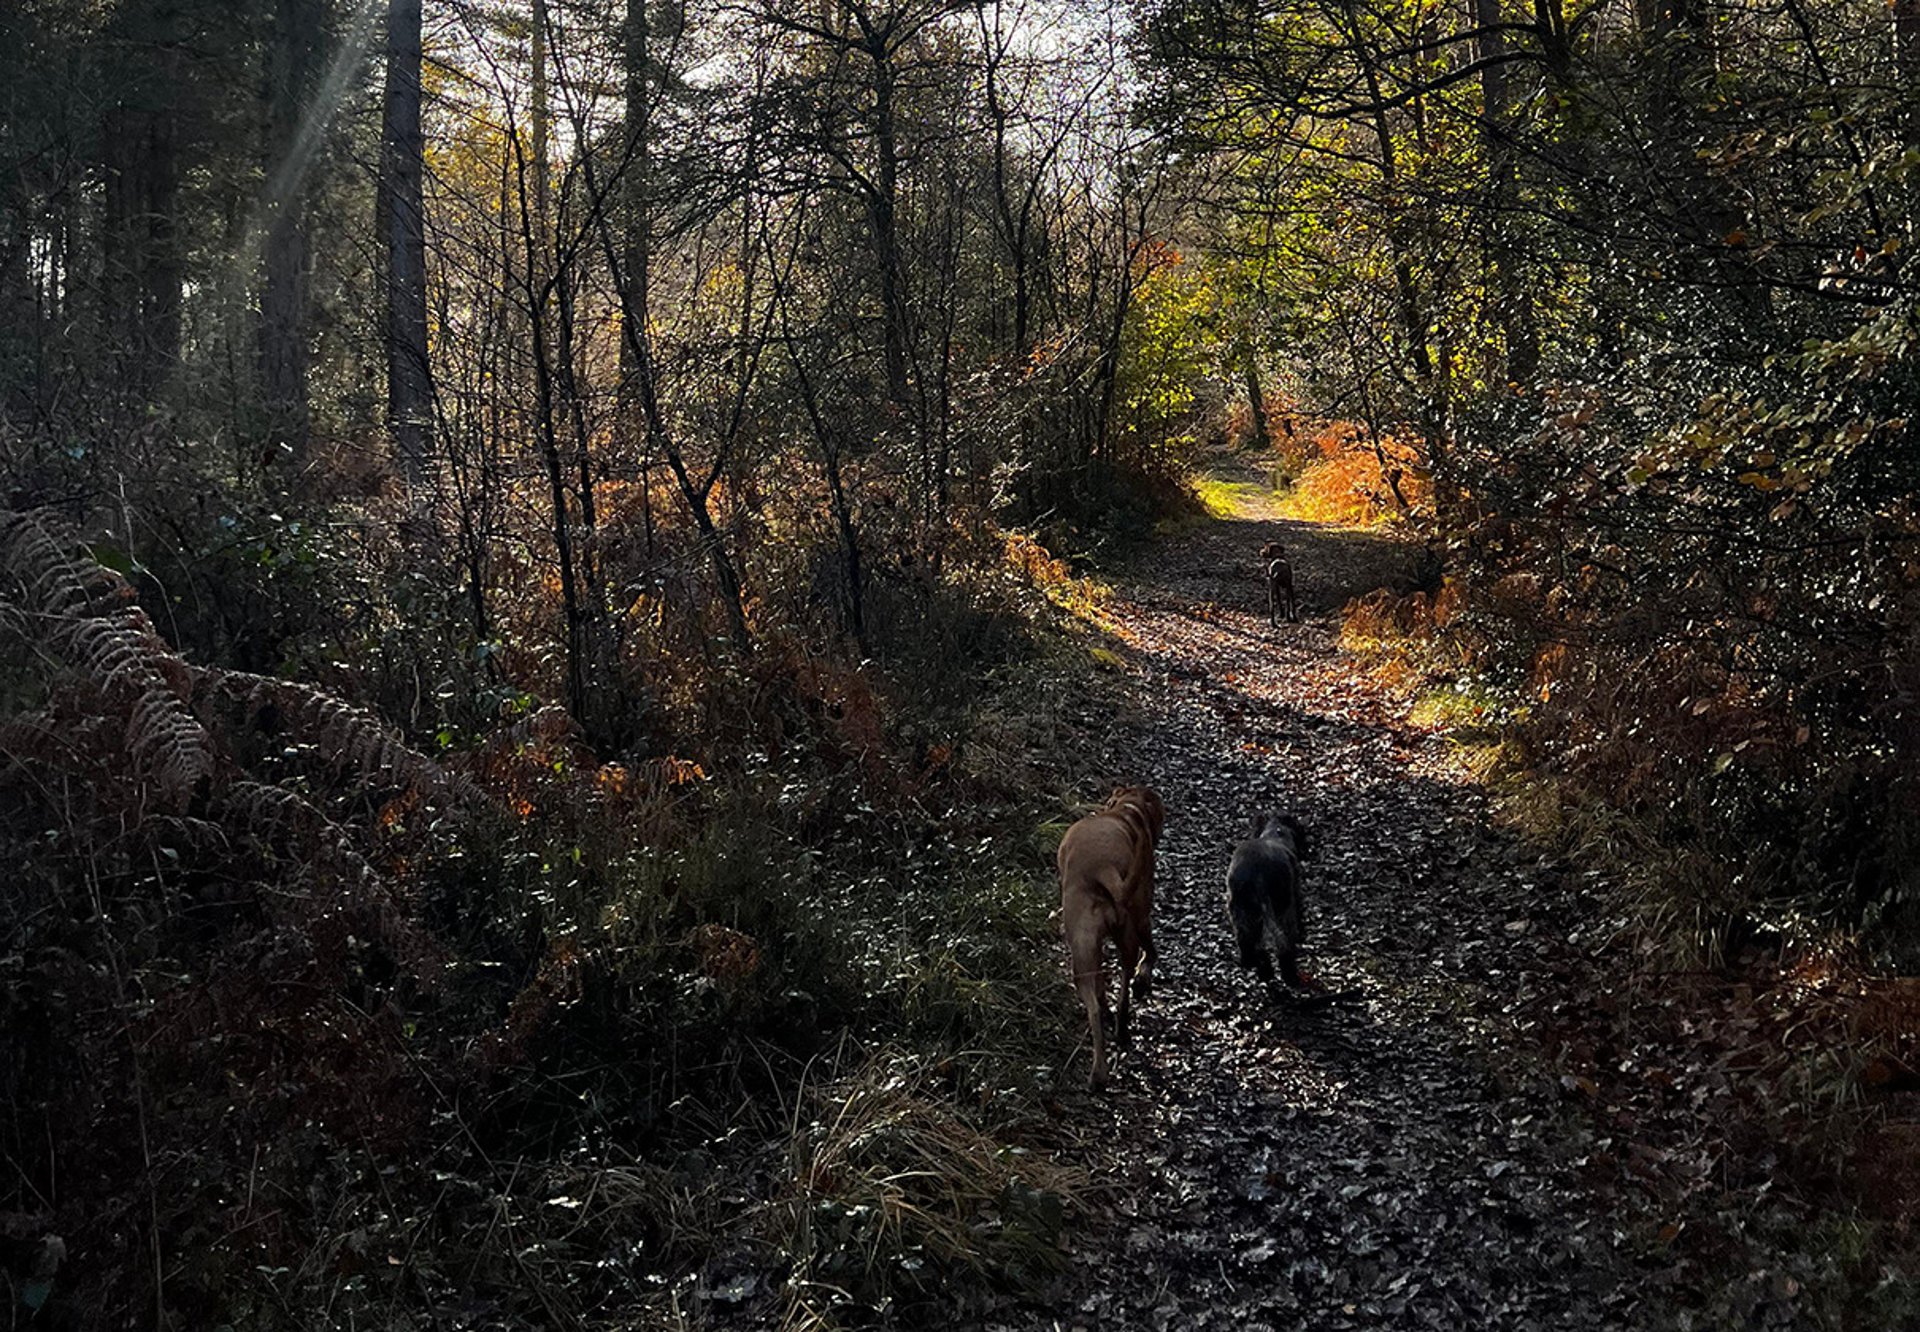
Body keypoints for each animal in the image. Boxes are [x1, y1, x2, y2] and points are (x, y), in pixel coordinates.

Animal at [1057, 785, 1164, 1088]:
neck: (1127, 810)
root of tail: (1103, 868)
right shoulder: (1141, 918)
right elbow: (1150, 951)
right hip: (1116, 936)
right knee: (1122, 986)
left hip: (1087, 949)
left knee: (1099, 1005)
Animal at [1226, 812, 1323, 1000]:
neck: (1275, 834)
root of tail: (1256, 874)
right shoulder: (1295, 892)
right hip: (1282, 906)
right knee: (1284, 942)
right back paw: (1289, 975)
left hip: (1240, 908)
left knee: (1249, 941)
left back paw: (1259, 968)